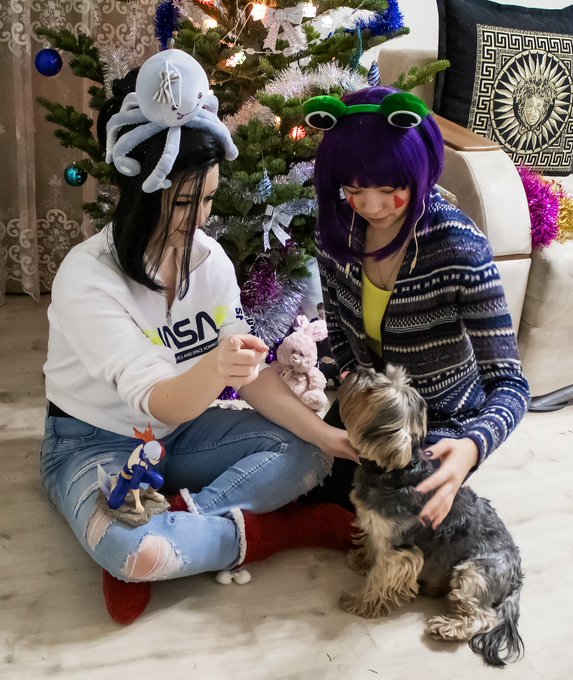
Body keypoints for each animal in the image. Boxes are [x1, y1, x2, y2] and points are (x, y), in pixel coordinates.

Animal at [337, 365, 524, 668]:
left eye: (371, 390)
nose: (358, 369)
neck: (395, 471)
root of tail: (517, 576)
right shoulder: (377, 529)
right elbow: (372, 548)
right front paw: (361, 560)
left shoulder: (399, 552)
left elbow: (380, 577)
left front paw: (361, 602)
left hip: (473, 573)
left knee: (482, 616)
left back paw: (448, 628)